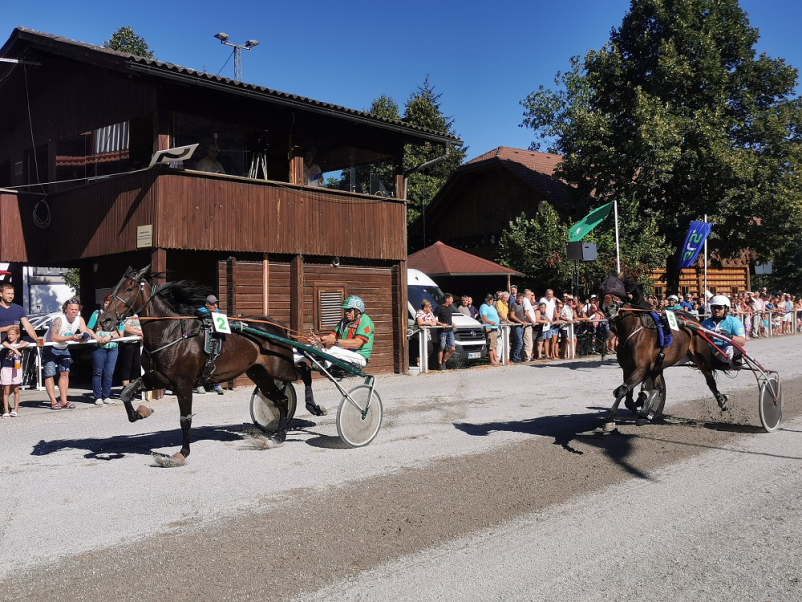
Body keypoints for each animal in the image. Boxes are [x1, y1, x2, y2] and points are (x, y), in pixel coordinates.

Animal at [95, 264, 318, 464]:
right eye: (115, 288)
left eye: (129, 289)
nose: (105, 320)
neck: (171, 333)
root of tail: (276, 326)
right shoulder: (156, 378)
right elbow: (126, 392)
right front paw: (140, 413)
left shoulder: (183, 384)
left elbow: (185, 418)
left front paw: (182, 453)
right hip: (259, 374)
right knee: (281, 399)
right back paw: (279, 435)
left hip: (281, 367)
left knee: (305, 370)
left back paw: (312, 405)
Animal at [596, 274, 728, 428]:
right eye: (603, 291)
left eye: (617, 291)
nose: (608, 307)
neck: (633, 330)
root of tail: (694, 321)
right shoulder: (628, 368)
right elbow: (626, 393)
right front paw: (637, 406)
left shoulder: (642, 367)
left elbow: (623, 389)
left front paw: (610, 418)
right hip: (659, 365)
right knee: (658, 387)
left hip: (701, 358)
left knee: (710, 380)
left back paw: (721, 400)